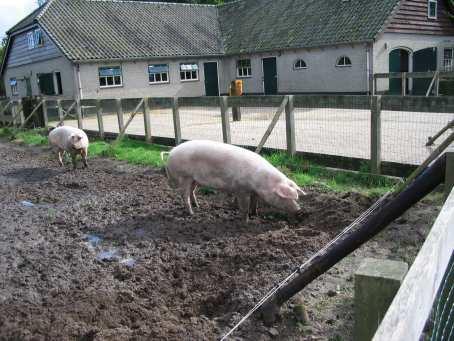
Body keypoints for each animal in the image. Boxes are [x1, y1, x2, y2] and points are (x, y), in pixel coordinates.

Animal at [165, 139, 306, 222]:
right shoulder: (241, 189)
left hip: (194, 179)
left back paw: (198, 206)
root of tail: (171, 152)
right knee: (184, 195)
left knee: (192, 192)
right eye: (286, 197)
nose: (300, 211)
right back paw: (192, 214)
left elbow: (255, 204)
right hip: (184, 177)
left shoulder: (254, 192)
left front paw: (255, 215)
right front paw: (246, 221)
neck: (261, 182)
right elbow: (244, 207)